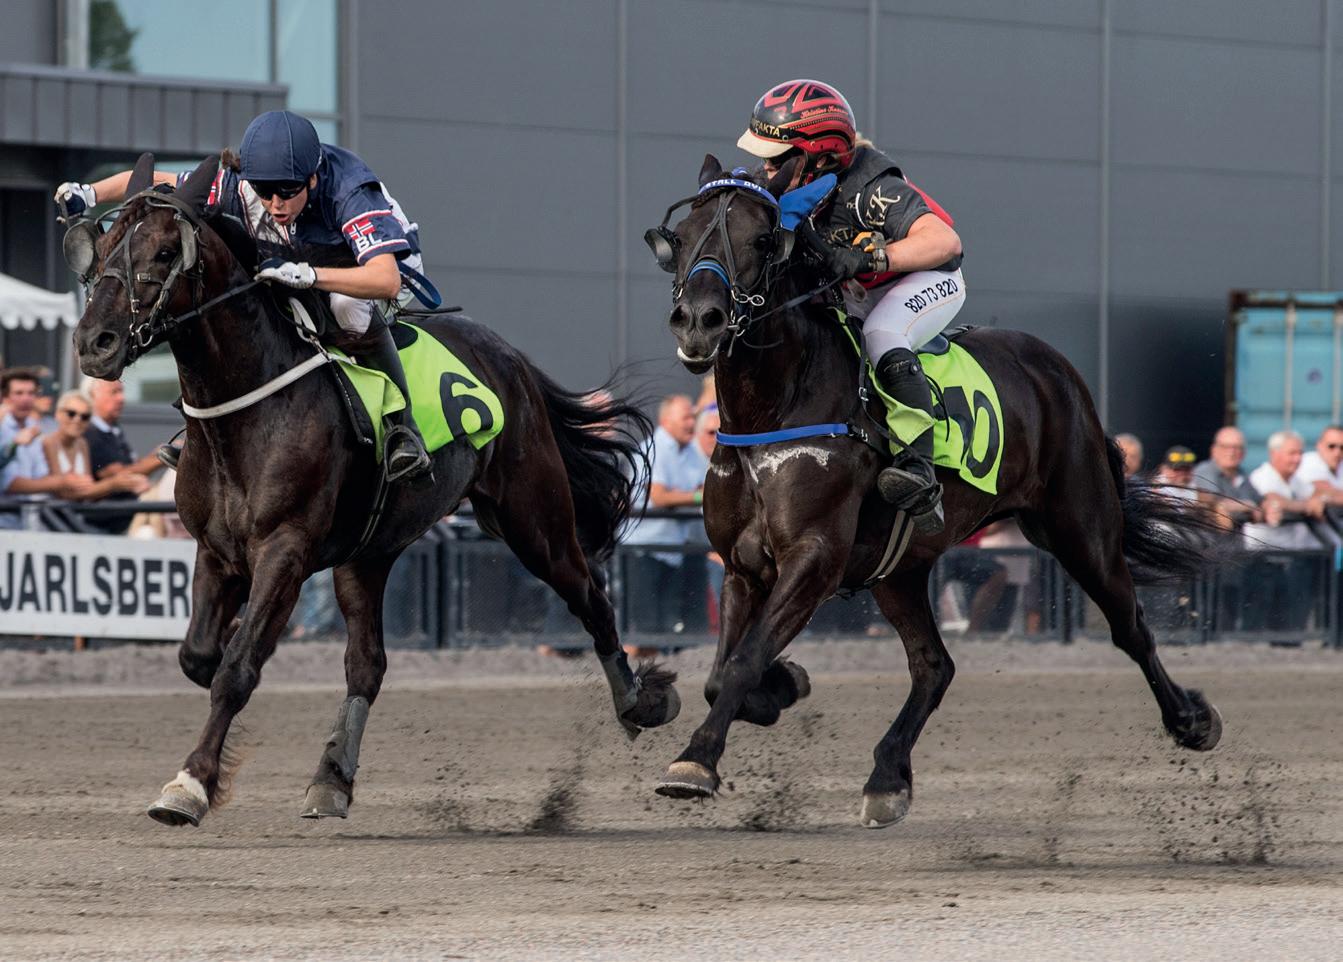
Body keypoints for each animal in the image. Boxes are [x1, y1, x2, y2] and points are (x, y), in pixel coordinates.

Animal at [69, 153, 680, 827]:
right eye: (101, 250)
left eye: (161, 253)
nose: (94, 343)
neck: (247, 412)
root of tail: (511, 359)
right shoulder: (216, 548)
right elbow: (201, 657)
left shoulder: (285, 550)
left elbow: (234, 670)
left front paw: (191, 784)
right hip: (369, 553)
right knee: (367, 665)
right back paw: (331, 778)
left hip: (533, 519)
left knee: (591, 596)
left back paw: (639, 701)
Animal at [645, 154, 1222, 827]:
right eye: (682, 235)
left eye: (763, 240)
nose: (699, 321)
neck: (775, 412)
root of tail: (1063, 374)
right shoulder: (742, 565)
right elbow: (724, 673)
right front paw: (780, 686)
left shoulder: (814, 557)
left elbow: (742, 661)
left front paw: (695, 762)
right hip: (901, 569)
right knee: (933, 666)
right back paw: (887, 776)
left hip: (1082, 529)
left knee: (1131, 627)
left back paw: (1192, 720)